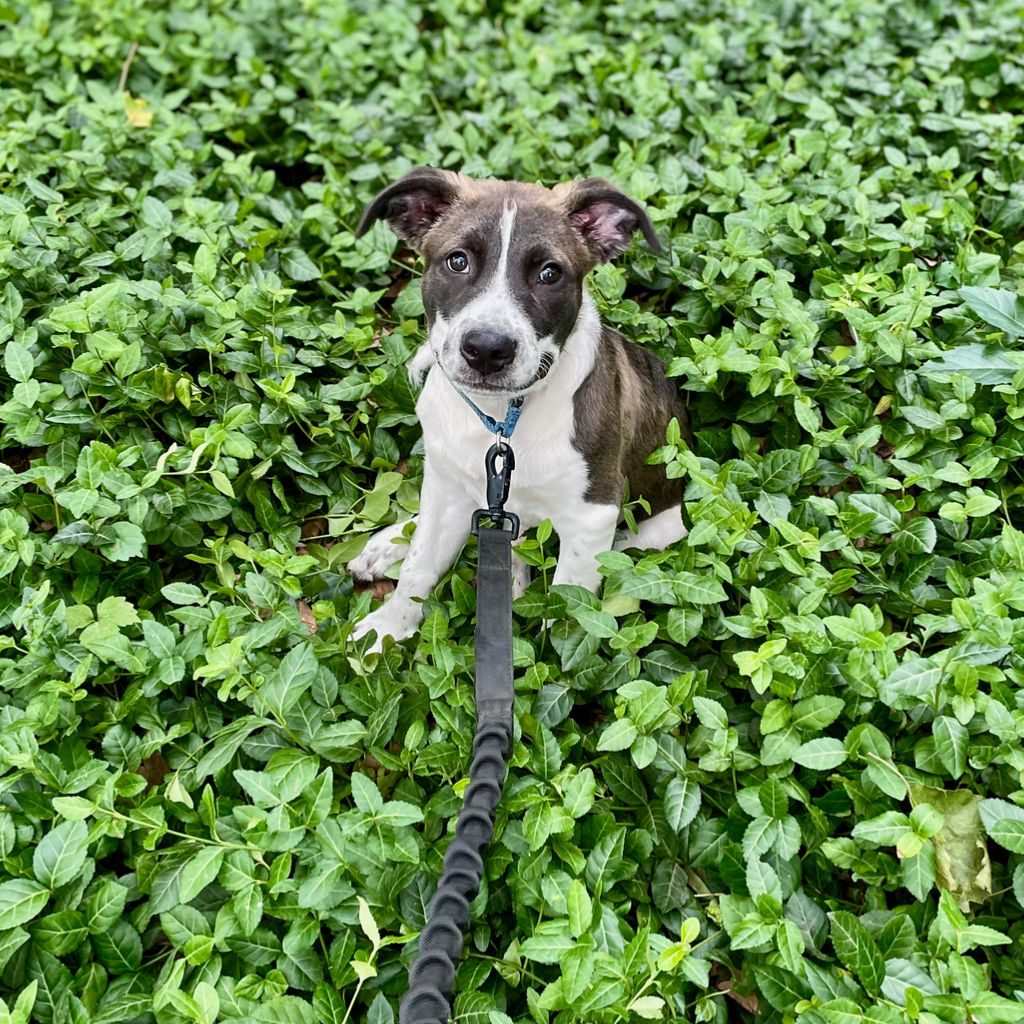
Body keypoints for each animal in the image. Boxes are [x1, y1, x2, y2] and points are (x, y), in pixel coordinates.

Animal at [350, 166, 688, 647]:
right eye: (457, 261)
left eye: (550, 273)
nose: (487, 349)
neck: (500, 418)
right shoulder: (449, 488)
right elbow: (418, 568)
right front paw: (389, 629)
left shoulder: (593, 514)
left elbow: (567, 615)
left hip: (659, 530)